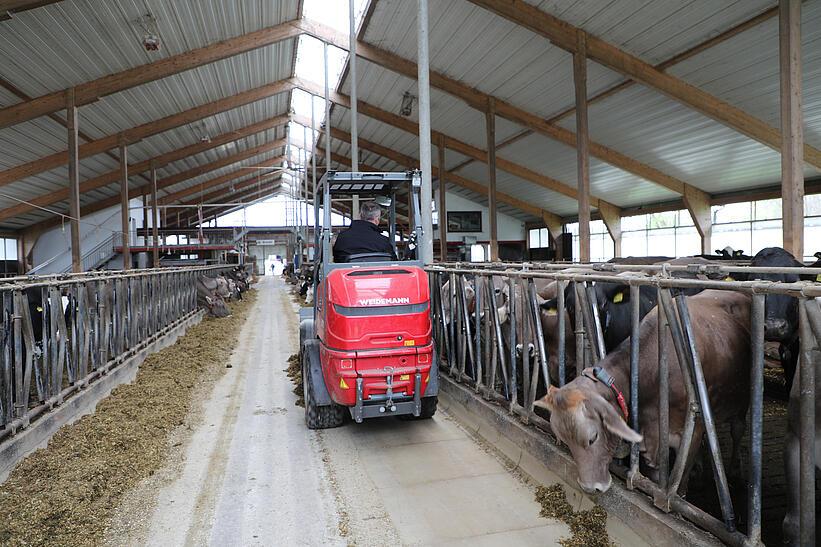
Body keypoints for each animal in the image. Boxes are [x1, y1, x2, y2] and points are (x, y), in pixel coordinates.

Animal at [536, 292, 752, 496]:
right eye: (565, 440)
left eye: (593, 437)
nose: (590, 488)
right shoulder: (650, 440)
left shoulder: (694, 429)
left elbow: (680, 483)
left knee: (737, 429)